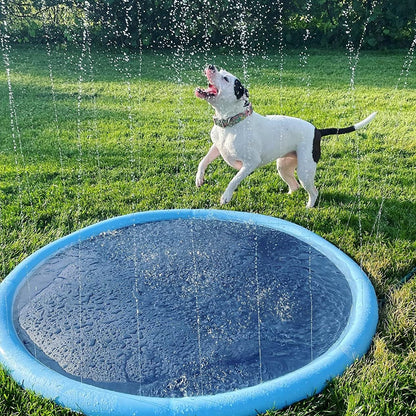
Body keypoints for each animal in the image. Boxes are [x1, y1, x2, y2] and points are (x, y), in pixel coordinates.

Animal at [196, 64, 376, 207]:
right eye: (221, 71)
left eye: (226, 79)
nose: (211, 66)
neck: (231, 122)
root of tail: (317, 130)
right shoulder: (216, 147)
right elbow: (203, 161)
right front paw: (199, 178)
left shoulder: (250, 163)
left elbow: (234, 180)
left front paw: (226, 196)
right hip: (283, 166)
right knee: (295, 186)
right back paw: (288, 196)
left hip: (305, 171)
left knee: (313, 191)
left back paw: (308, 207)